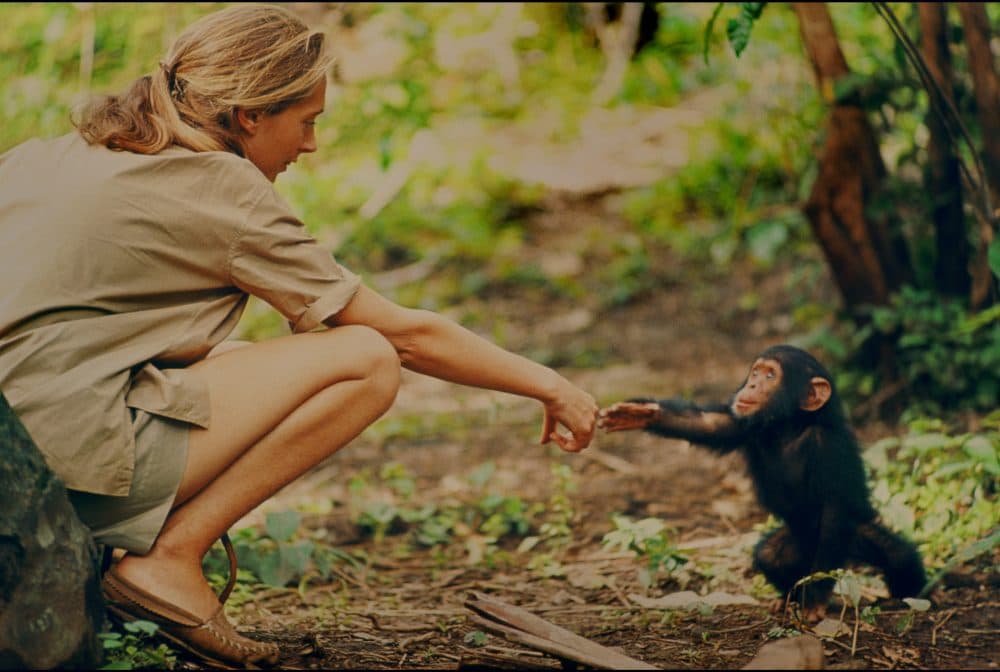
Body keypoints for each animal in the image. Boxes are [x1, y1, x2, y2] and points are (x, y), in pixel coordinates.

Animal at [596, 346, 924, 620]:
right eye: (756, 372)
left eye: (770, 376)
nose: (751, 385)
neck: (789, 426)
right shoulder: (742, 423)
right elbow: (707, 424)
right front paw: (639, 413)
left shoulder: (830, 450)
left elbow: (834, 511)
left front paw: (816, 600)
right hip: (795, 543)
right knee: (770, 557)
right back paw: (788, 598)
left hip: (852, 537)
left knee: (899, 558)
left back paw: (909, 594)